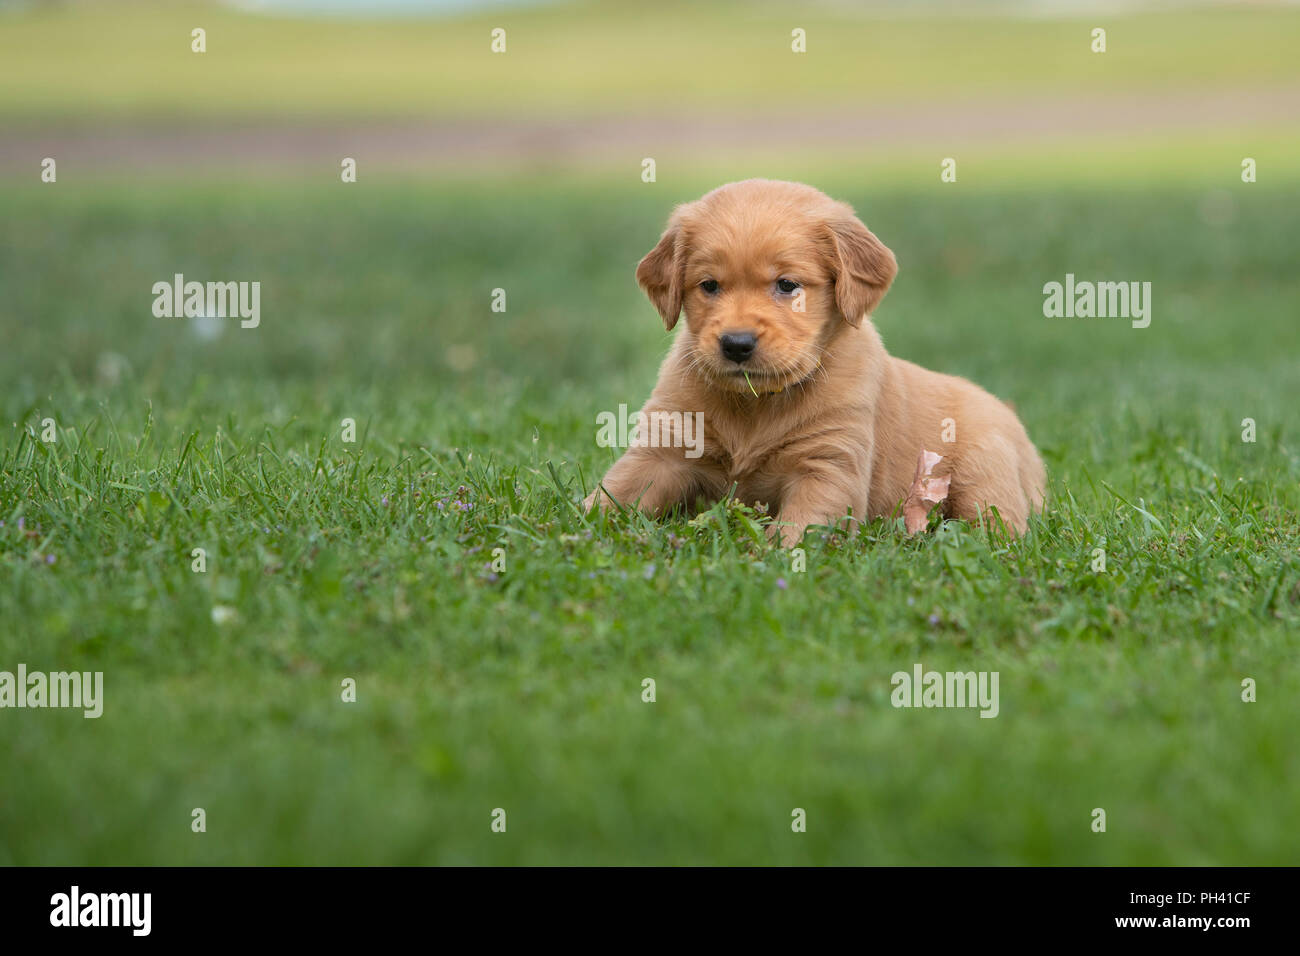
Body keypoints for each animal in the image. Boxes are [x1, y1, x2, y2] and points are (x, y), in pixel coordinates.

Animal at [587, 179, 1045, 546]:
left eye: (787, 284)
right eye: (709, 285)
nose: (736, 344)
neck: (757, 402)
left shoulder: (829, 466)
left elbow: (800, 525)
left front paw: (773, 556)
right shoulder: (665, 445)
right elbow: (617, 490)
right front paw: (577, 529)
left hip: (982, 474)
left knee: (998, 522)